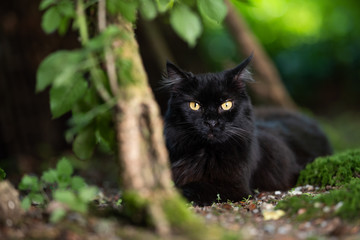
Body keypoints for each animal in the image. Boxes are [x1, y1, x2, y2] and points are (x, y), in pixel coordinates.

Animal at [163, 55, 332, 205]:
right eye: (195, 105)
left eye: (226, 104)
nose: (211, 122)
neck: (203, 152)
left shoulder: (235, 186)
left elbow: (187, 188)